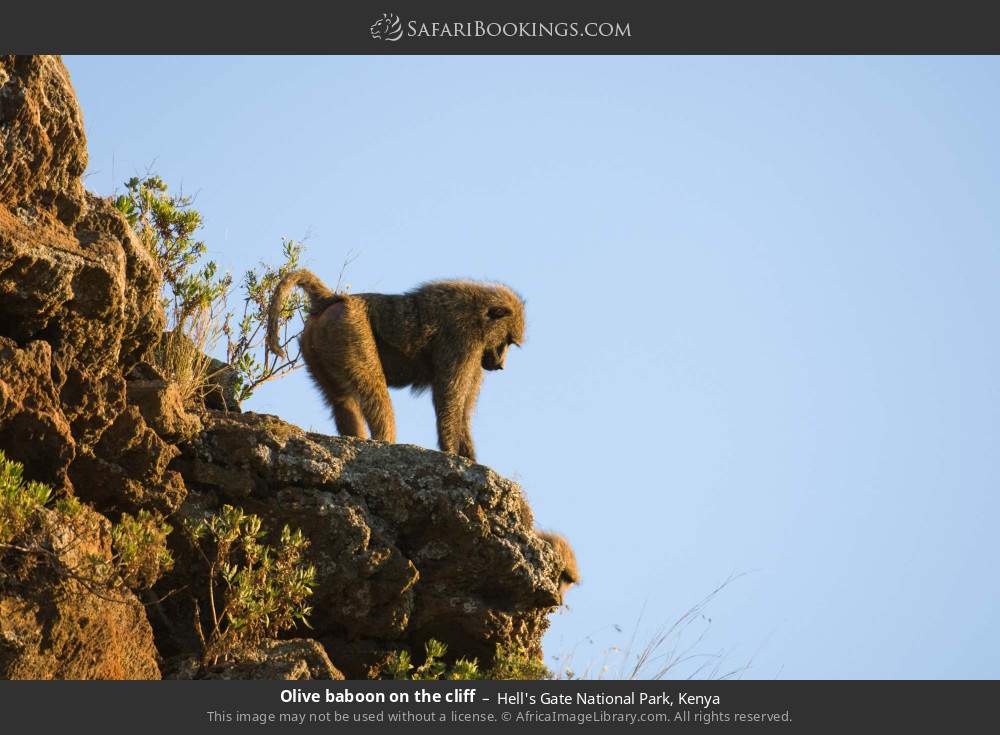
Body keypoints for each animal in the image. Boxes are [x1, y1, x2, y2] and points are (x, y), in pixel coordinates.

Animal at [266, 269, 525, 462]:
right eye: (506, 341)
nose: (501, 364)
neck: (478, 314)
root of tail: (334, 299)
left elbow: (464, 410)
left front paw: (469, 458)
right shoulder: (463, 341)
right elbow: (449, 400)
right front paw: (453, 454)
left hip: (320, 344)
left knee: (341, 400)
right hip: (349, 328)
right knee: (375, 392)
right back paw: (384, 444)